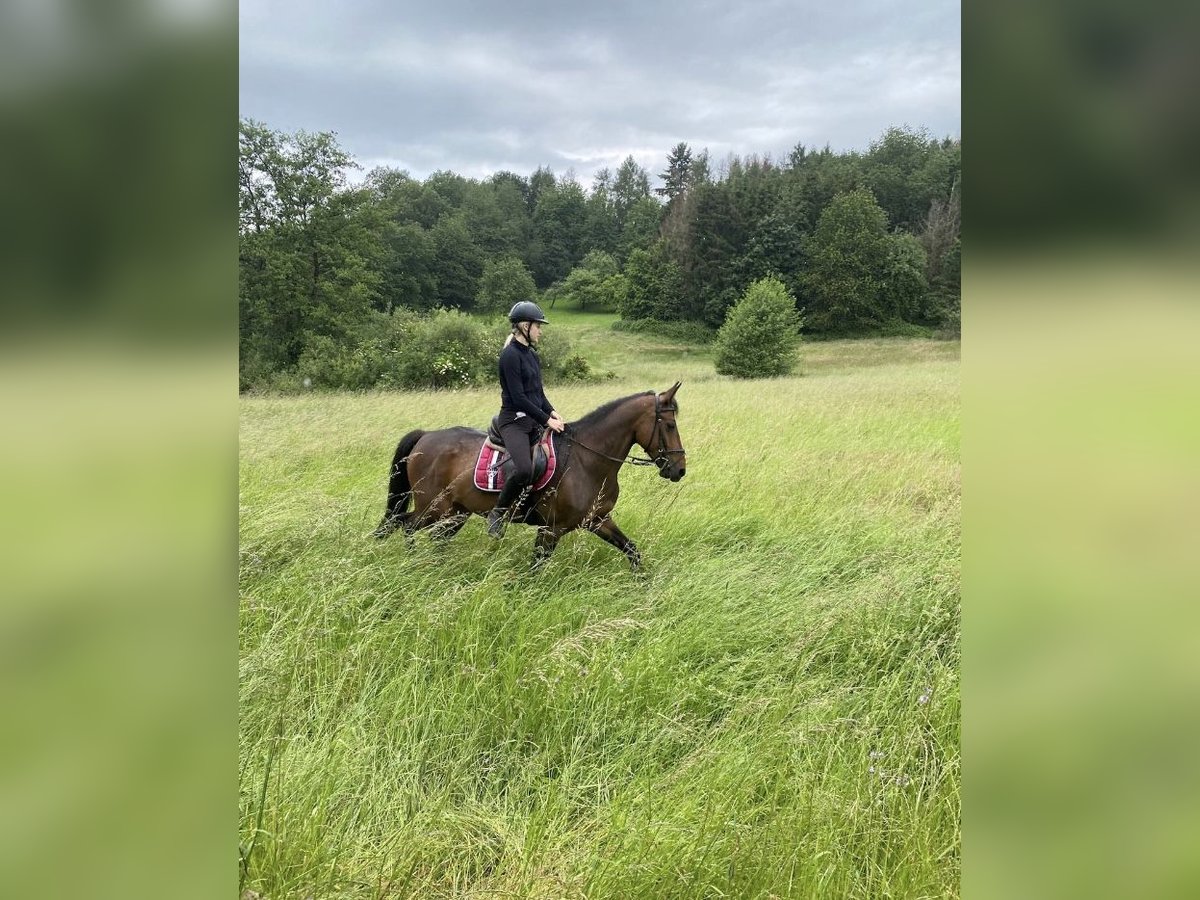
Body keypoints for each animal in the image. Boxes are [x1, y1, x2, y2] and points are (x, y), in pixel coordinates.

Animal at [379, 381, 691, 571]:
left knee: (434, 537)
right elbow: (535, 568)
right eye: (670, 425)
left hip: (455, 513)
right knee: (404, 524)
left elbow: (632, 551)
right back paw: (413, 562)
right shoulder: (551, 529)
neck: (588, 460)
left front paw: (645, 586)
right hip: (432, 508)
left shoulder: (599, 519)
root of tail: (425, 436)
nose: (679, 469)